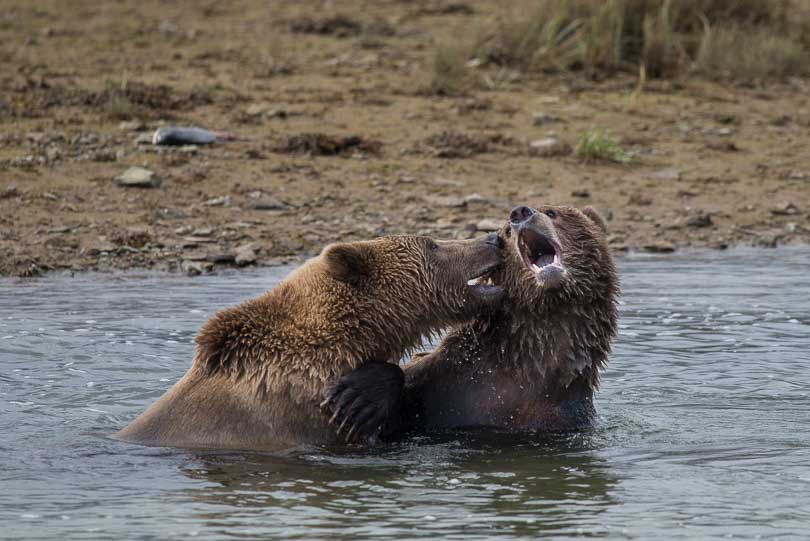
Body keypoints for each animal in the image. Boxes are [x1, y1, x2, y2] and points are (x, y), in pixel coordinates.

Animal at [322, 204, 620, 438]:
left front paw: (357, 399)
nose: (520, 213)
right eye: (506, 232)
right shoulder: (450, 380)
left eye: (552, 212)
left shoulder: (563, 417)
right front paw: (358, 397)